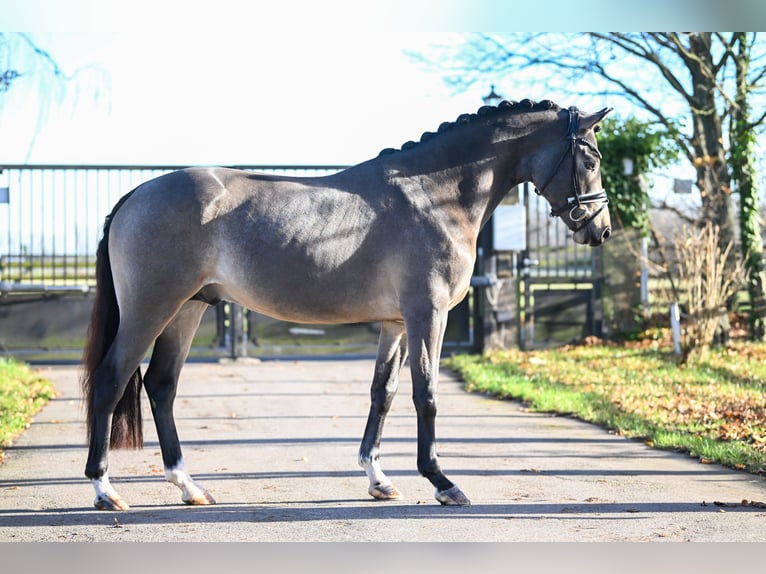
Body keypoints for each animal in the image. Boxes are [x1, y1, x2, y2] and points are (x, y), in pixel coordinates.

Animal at [81, 99, 616, 512]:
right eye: (590, 158)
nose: (601, 229)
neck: (433, 197)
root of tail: (135, 193)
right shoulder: (428, 315)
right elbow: (426, 394)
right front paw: (442, 482)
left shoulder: (396, 323)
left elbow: (385, 393)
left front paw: (378, 479)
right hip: (152, 309)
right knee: (112, 380)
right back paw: (105, 490)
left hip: (187, 309)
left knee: (161, 386)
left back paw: (188, 486)